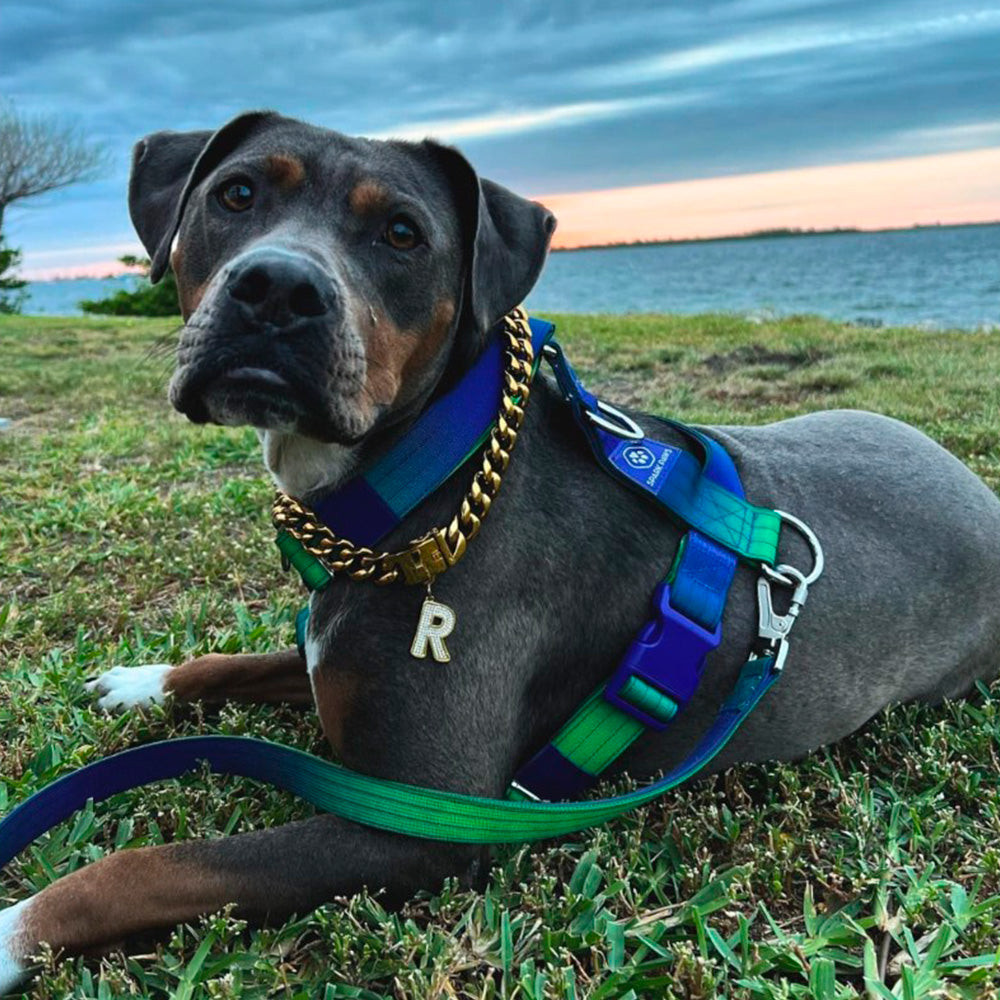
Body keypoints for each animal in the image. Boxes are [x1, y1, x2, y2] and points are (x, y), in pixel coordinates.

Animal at [1, 107, 1000, 984]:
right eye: (236, 194)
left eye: (402, 234)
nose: (278, 287)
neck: (423, 482)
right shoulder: (333, 656)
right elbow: (235, 663)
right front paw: (143, 682)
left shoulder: (416, 820)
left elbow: (148, 868)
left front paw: (14, 929)